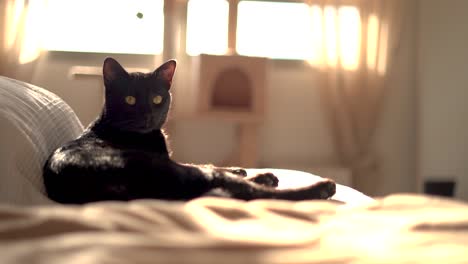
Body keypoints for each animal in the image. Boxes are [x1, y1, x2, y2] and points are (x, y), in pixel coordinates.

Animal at [43, 58, 336, 204]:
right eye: (130, 99)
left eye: (157, 99)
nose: (148, 115)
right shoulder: (171, 161)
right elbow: (207, 165)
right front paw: (247, 172)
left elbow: (207, 162)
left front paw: (240, 168)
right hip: (164, 167)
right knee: (250, 193)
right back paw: (319, 187)